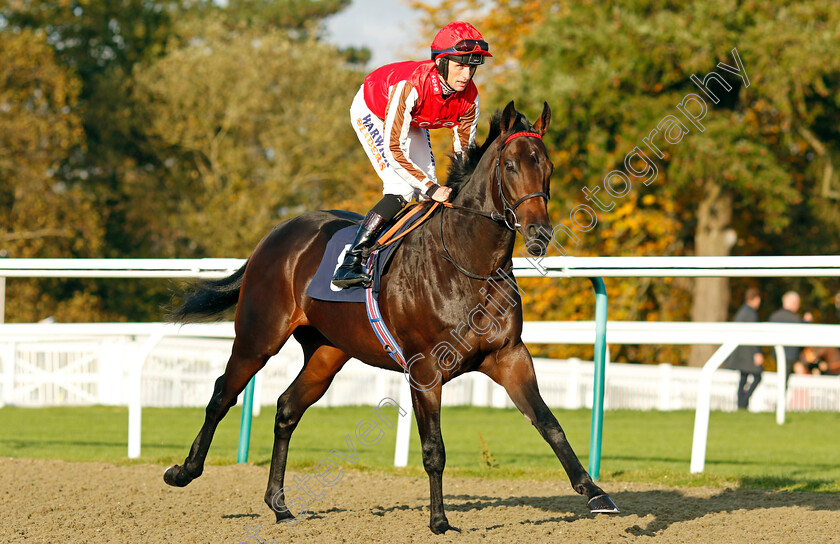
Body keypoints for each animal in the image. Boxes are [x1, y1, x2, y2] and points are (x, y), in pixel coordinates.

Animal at [164, 101, 620, 532]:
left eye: (547, 166)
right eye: (510, 166)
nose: (540, 234)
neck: (468, 262)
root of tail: (277, 233)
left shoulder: (509, 355)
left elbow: (549, 423)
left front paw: (595, 493)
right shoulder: (425, 369)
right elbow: (434, 449)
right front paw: (439, 521)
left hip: (328, 351)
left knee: (287, 408)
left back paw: (279, 505)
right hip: (258, 336)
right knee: (222, 394)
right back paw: (184, 471)